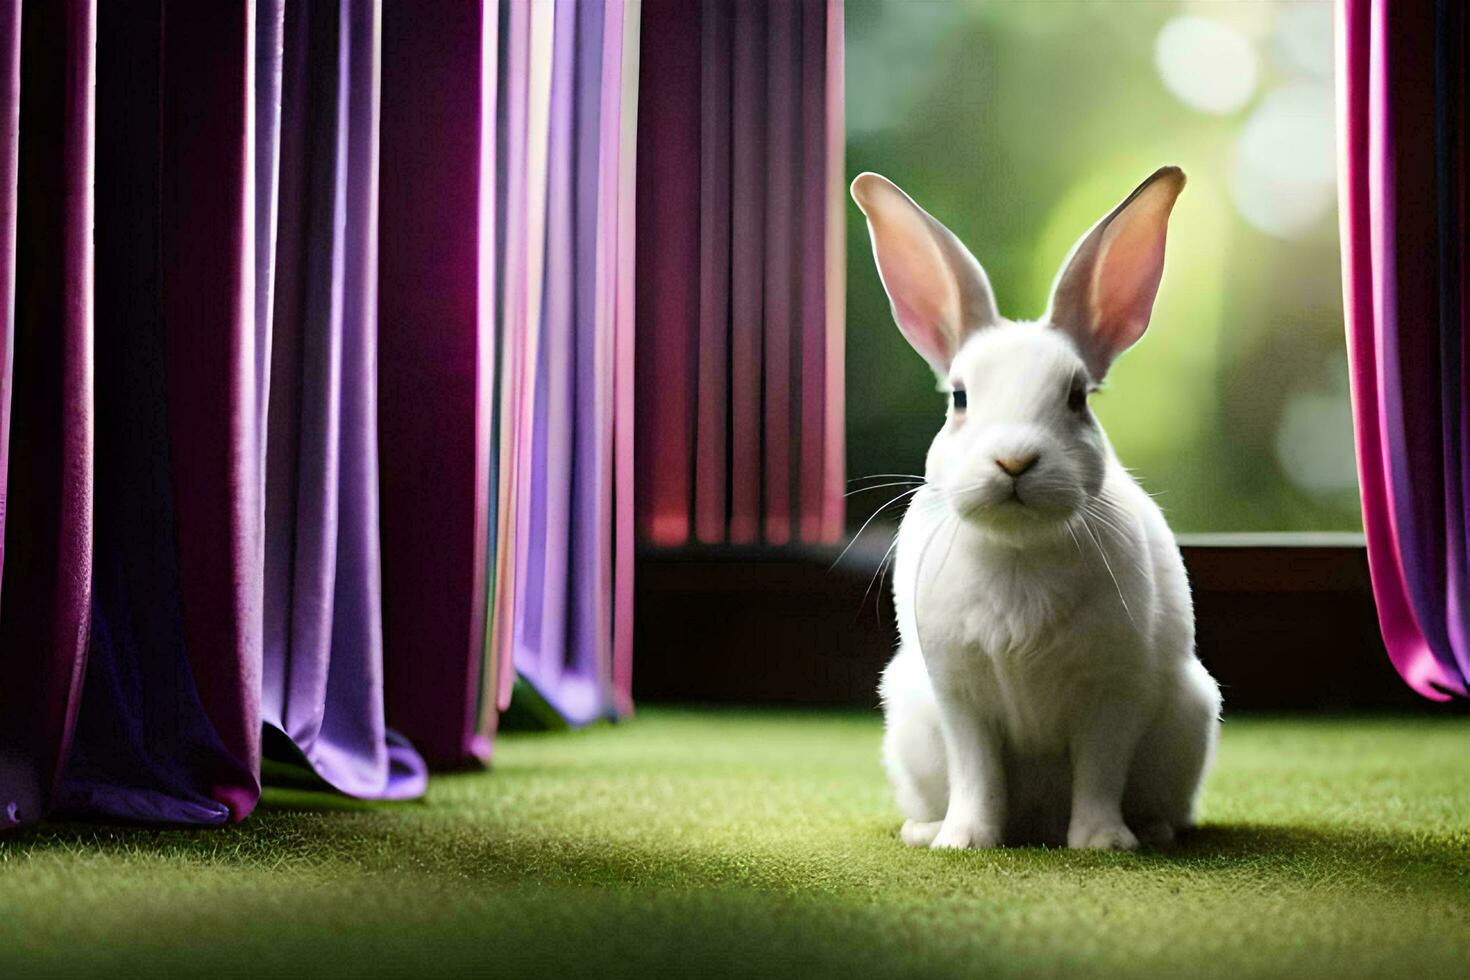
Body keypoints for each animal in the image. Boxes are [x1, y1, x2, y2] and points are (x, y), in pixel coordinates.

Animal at [852, 166, 1217, 852]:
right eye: (959, 397)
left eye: (1077, 398)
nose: (1015, 460)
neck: (1017, 547)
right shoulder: (958, 695)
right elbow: (976, 773)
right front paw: (964, 841)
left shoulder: (1114, 690)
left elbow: (1100, 770)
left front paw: (1103, 842)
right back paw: (923, 829)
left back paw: (1152, 830)